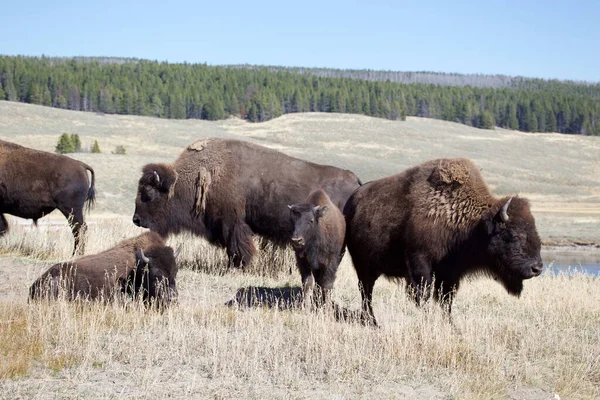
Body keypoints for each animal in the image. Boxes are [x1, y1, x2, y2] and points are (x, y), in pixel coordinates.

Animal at [132, 138, 360, 268]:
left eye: (148, 193)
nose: (136, 219)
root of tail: (355, 181)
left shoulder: (233, 223)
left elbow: (238, 246)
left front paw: (239, 266)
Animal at [342, 156, 544, 324]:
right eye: (514, 235)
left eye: (535, 232)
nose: (537, 268)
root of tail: (352, 201)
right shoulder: (420, 263)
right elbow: (423, 295)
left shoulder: (450, 273)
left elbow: (446, 300)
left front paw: (450, 324)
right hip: (362, 264)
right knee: (366, 290)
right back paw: (371, 320)